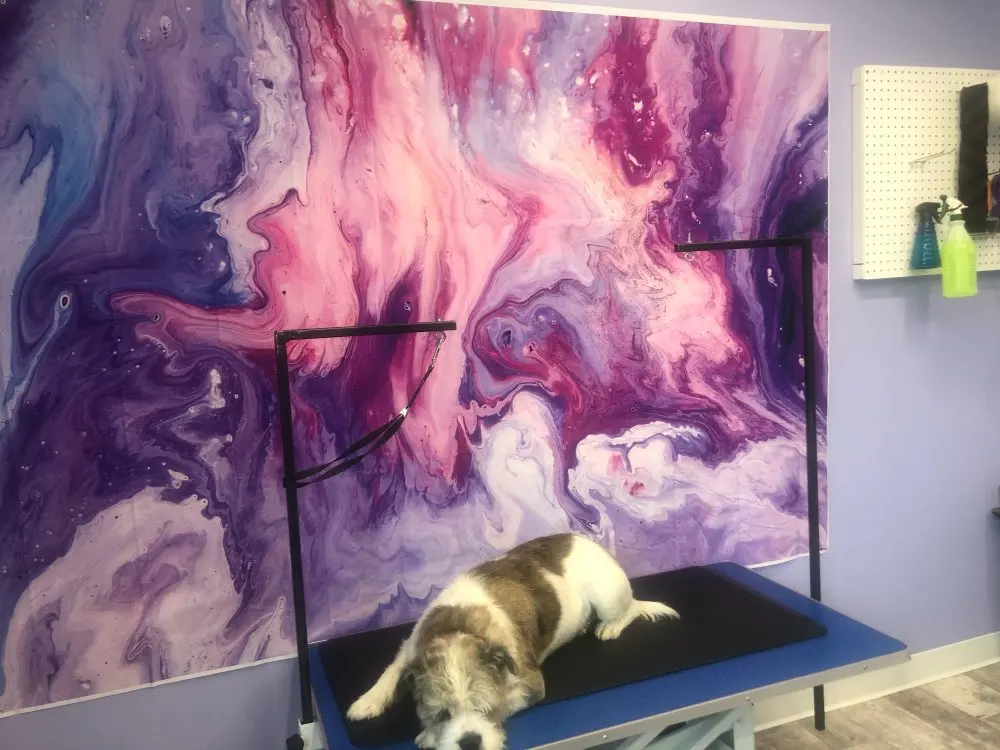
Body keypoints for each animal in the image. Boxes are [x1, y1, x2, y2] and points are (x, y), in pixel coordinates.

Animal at [346, 533, 679, 750]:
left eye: (486, 709)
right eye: (442, 714)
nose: (470, 742)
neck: (458, 625)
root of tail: (589, 542)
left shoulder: (530, 683)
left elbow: (508, 698)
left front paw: (429, 736)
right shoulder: (412, 647)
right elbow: (392, 670)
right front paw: (368, 701)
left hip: (608, 594)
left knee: (629, 610)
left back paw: (610, 626)